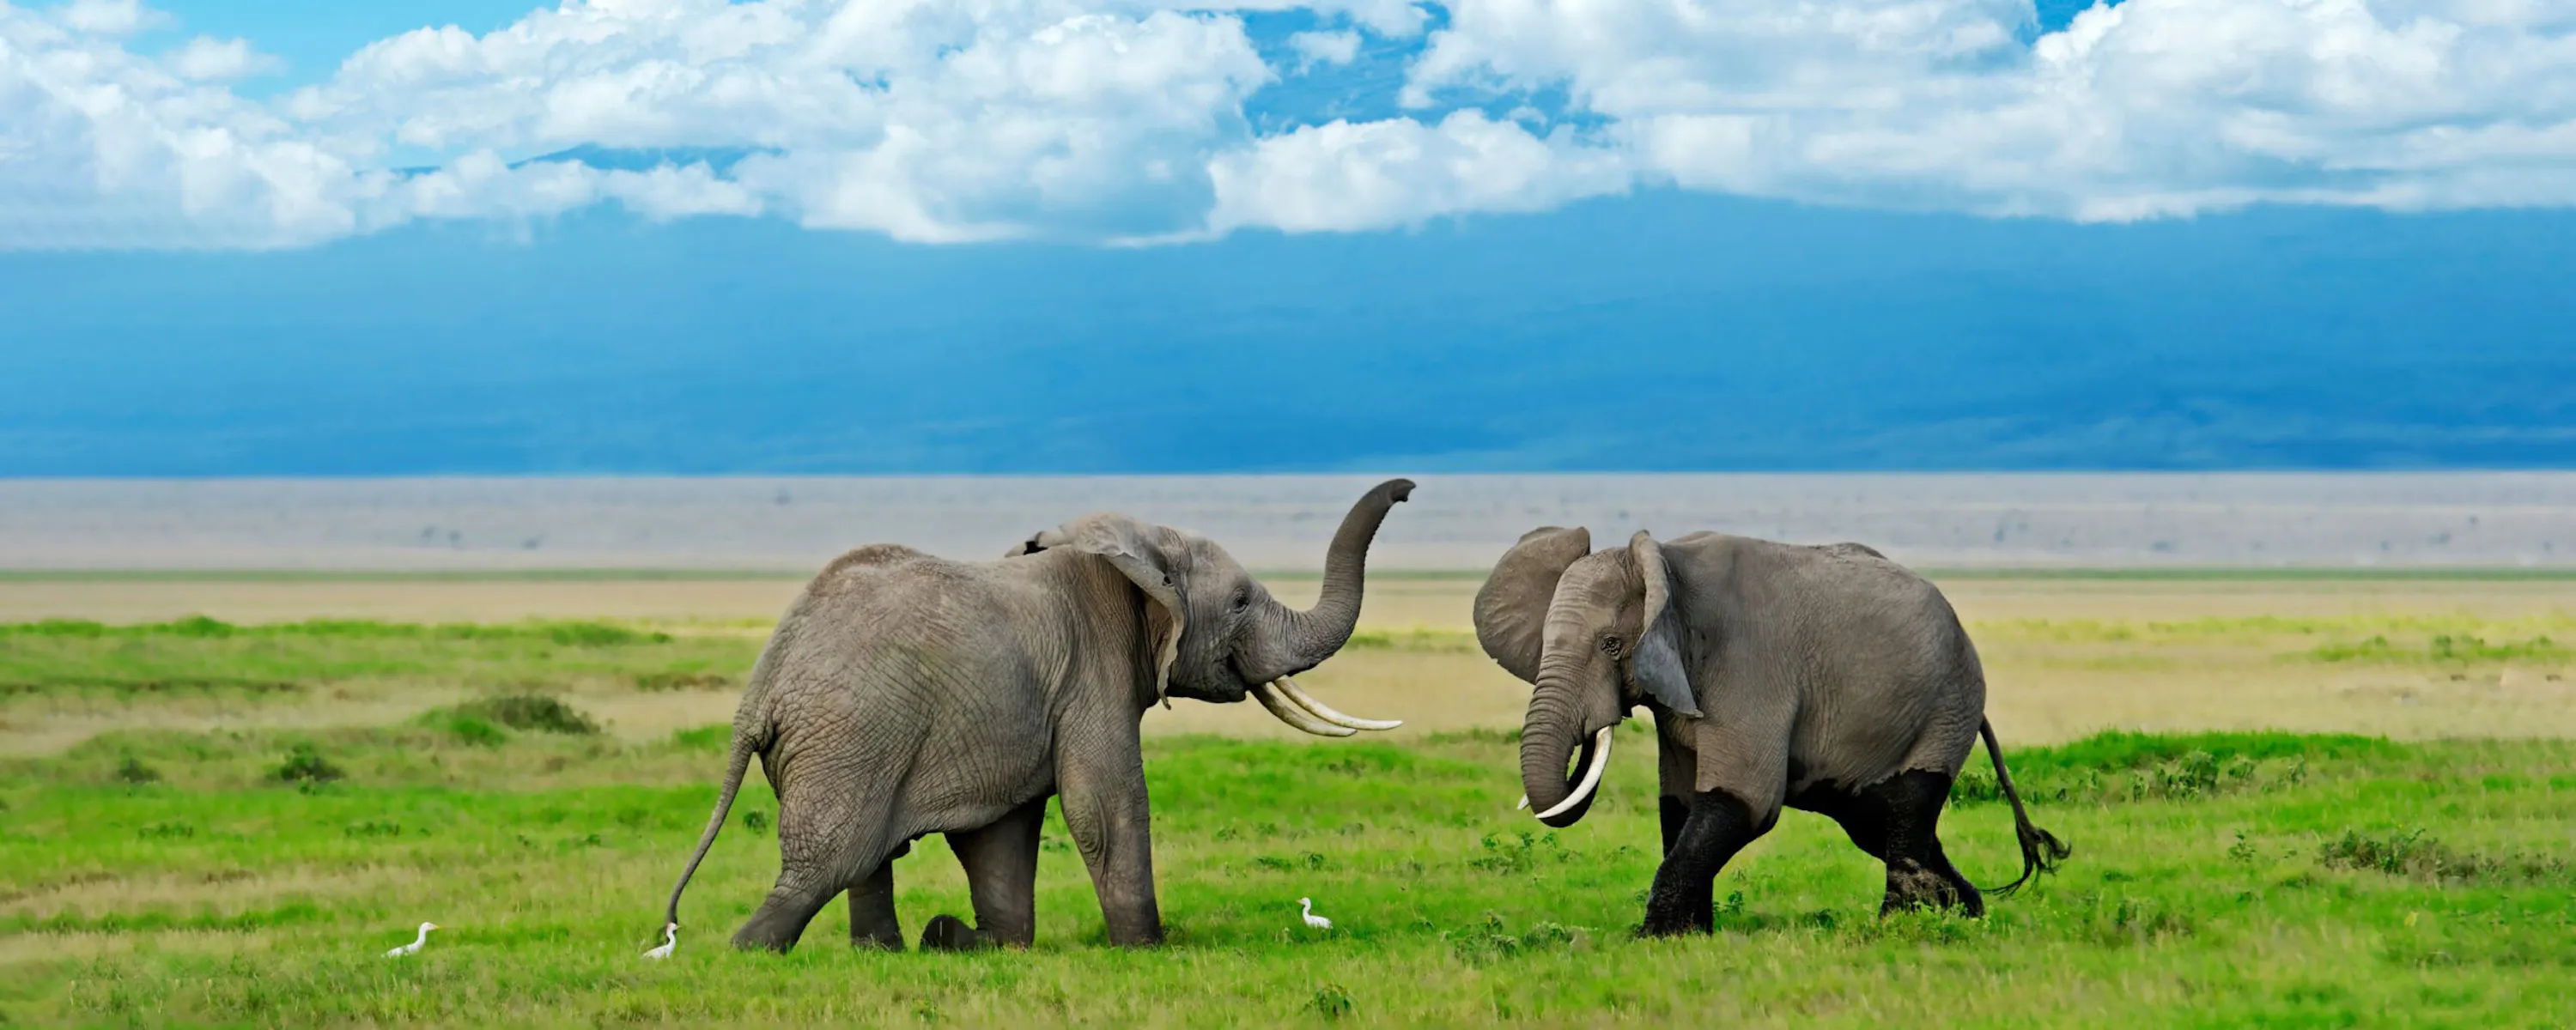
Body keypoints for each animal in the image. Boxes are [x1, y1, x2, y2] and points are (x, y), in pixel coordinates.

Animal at [659, 479, 1415, 952]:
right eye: (1238, 603)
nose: (1408, 490)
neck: (1135, 553)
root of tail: (762, 687)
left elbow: (1005, 832)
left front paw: (982, 941)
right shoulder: (1093, 670)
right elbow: (1106, 804)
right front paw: (1147, 949)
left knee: (865, 860)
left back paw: (897, 950)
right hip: (850, 737)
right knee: (830, 862)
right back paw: (749, 951)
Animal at [1472, 526, 2067, 936]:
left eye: (1612, 646)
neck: (1663, 563)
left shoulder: (1747, 667)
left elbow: (1743, 800)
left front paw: (1649, 939)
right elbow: (1679, 805)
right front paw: (1688, 938)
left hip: (1946, 706)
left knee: (1904, 812)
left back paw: (1897, 928)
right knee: (1880, 824)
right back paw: (1966, 914)